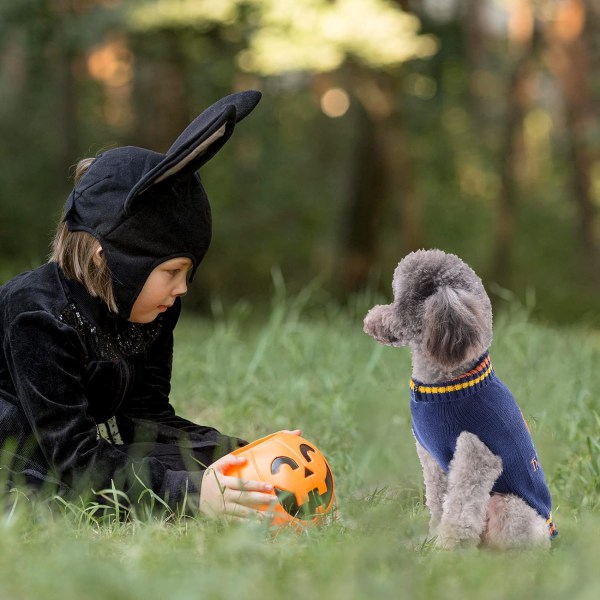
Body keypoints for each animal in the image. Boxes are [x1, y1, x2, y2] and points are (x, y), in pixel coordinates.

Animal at [364, 248, 556, 548]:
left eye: (398, 301)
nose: (370, 319)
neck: (450, 381)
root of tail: (549, 533)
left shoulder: (476, 456)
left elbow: (460, 510)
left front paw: (448, 551)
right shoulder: (432, 458)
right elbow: (438, 502)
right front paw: (430, 541)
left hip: (507, 504)